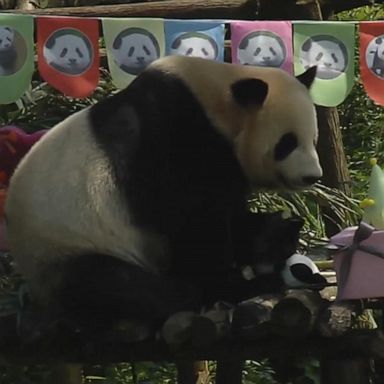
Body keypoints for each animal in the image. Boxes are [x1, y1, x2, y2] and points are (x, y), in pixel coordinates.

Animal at [6, 54, 320, 340]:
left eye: (313, 139)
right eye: (287, 143)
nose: (312, 176)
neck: (214, 103)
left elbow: (231, 214)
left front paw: (275, 234)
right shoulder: (172, 140)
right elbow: (194, 222)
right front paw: (231, 283)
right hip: (67, 249)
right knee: (110, 284)